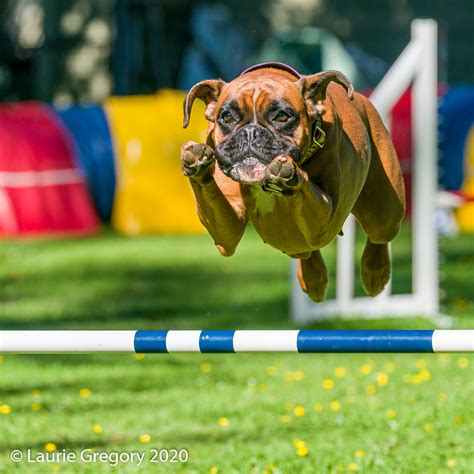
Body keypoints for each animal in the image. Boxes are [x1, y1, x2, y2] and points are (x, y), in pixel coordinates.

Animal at [180, 63, 406, 302]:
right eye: (227, 117)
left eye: (282, 117)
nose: (251, 132)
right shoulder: (227, 233)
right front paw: (198, 163)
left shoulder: (326, 220)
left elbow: (305, 188)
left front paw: (287, 175)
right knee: (306, 251)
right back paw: (314, 278)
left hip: (384, 214)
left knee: (379, 236)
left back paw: (375, 272)